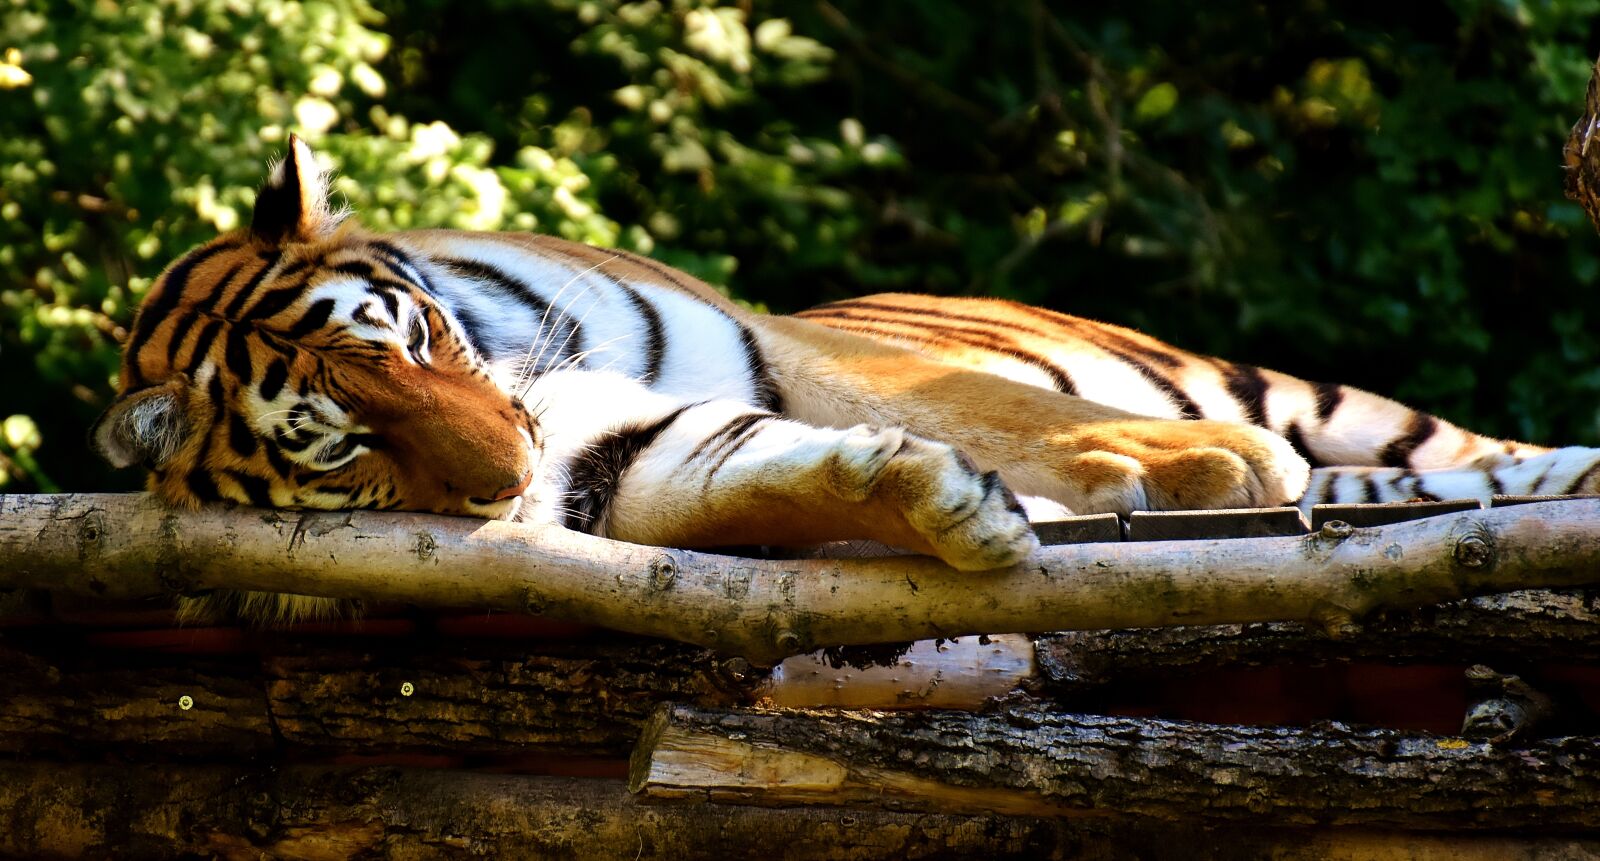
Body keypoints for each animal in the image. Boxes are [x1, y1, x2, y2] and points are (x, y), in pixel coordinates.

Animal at [93, 135, 1600, 621]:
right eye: (347, 446)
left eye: (410, 344)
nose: (505, 468)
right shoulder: (615, 469)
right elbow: (759, 478)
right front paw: (930, 507)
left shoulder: (800, 348)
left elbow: (987, 407)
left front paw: (1186, 467)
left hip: (1319, 396)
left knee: (1457, 450)